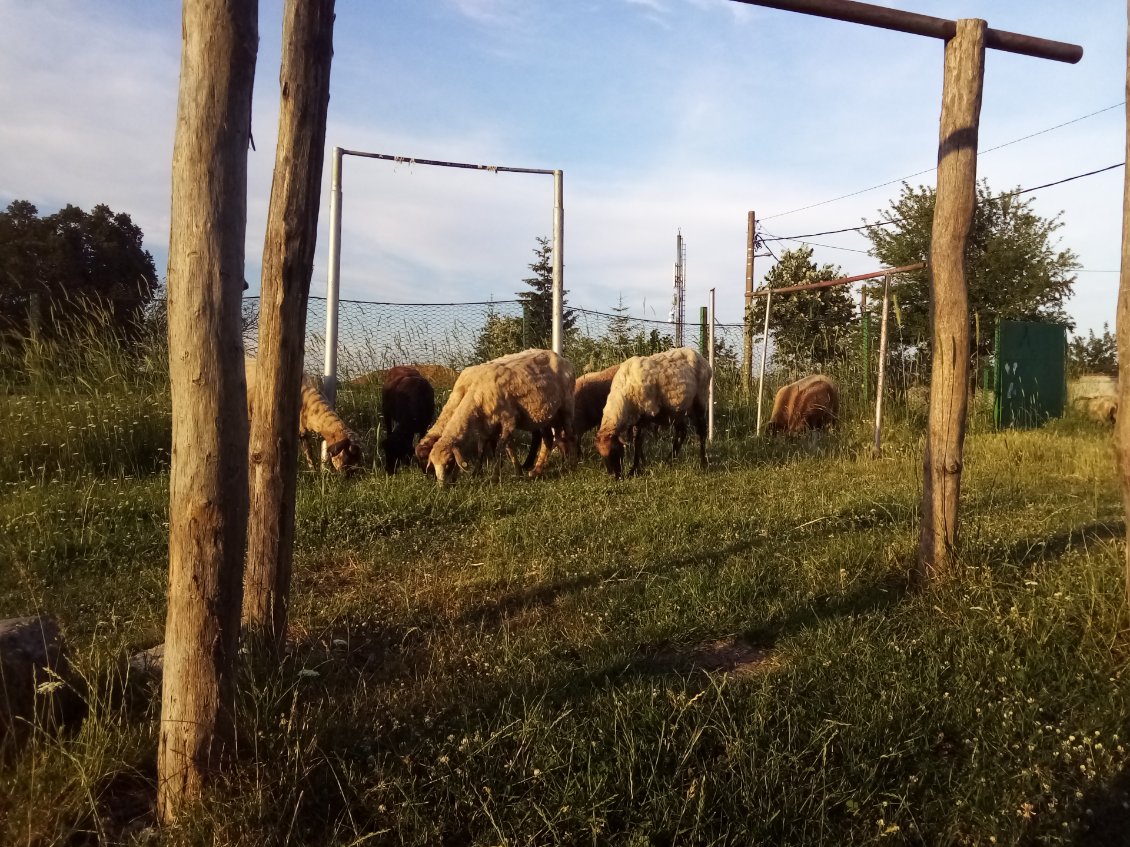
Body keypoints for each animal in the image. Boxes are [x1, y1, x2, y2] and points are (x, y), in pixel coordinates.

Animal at [427, 347, 578, 483]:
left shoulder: (508, 420)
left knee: (569, 434)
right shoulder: (489, 424)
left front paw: (494, 477)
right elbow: (486, 448)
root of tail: (564, 360)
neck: (476, 394)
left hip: (566, 406)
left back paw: (572, 464)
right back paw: (536, 470)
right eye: (433, 464)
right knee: (548, 439)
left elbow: (500, 448)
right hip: (545, 415)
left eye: (449, 462)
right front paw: (480, 473)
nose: (443, 486)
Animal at [592, 345, 705, 478]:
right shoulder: (636, 418)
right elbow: (637, 442)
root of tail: (698, 355)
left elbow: (637, 442)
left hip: (700, 400)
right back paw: (669, 460)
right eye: (602, 456)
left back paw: (703, 463)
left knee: (702, 431)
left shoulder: (644, 414)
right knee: (681, 433)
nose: (616, 477)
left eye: (615, 451)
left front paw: (634, 469)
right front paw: (641, 465)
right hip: (677, 410)